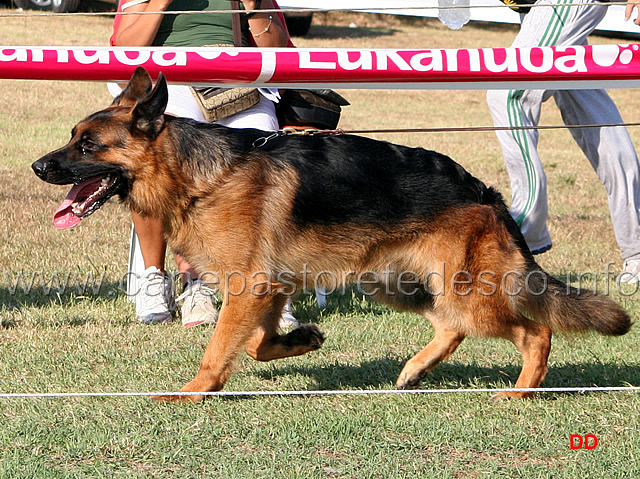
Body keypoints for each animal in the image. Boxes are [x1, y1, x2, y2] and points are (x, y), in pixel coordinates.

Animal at [32, 67, 628, 404]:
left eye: (88, 146)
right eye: (72, 137)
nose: (38, 166)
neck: (198, 174)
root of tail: (485, 192)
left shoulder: (250, 287)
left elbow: (221, 348)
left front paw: (194, 394)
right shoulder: (267, 289)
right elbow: (255, 345)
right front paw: (301, 340)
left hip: (466, 293)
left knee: (534, 331)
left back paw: (523, 390)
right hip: (393, 283)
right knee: (451, 326)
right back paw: (414, 371)